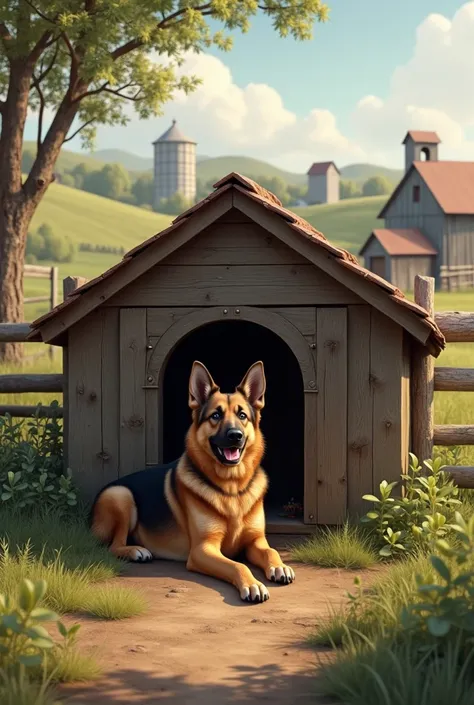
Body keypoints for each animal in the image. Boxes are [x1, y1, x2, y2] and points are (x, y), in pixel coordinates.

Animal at [90, 360, 294, 604]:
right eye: (215, 416)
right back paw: (136, 551)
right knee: (113, 545)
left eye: (242, 415)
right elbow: (237, 565)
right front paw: (253, 584)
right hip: (121, 495)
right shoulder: (202, 550)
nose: (235, 435)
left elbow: (271, 551)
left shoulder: (255, 541)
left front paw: (280, 566)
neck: (231, 489)